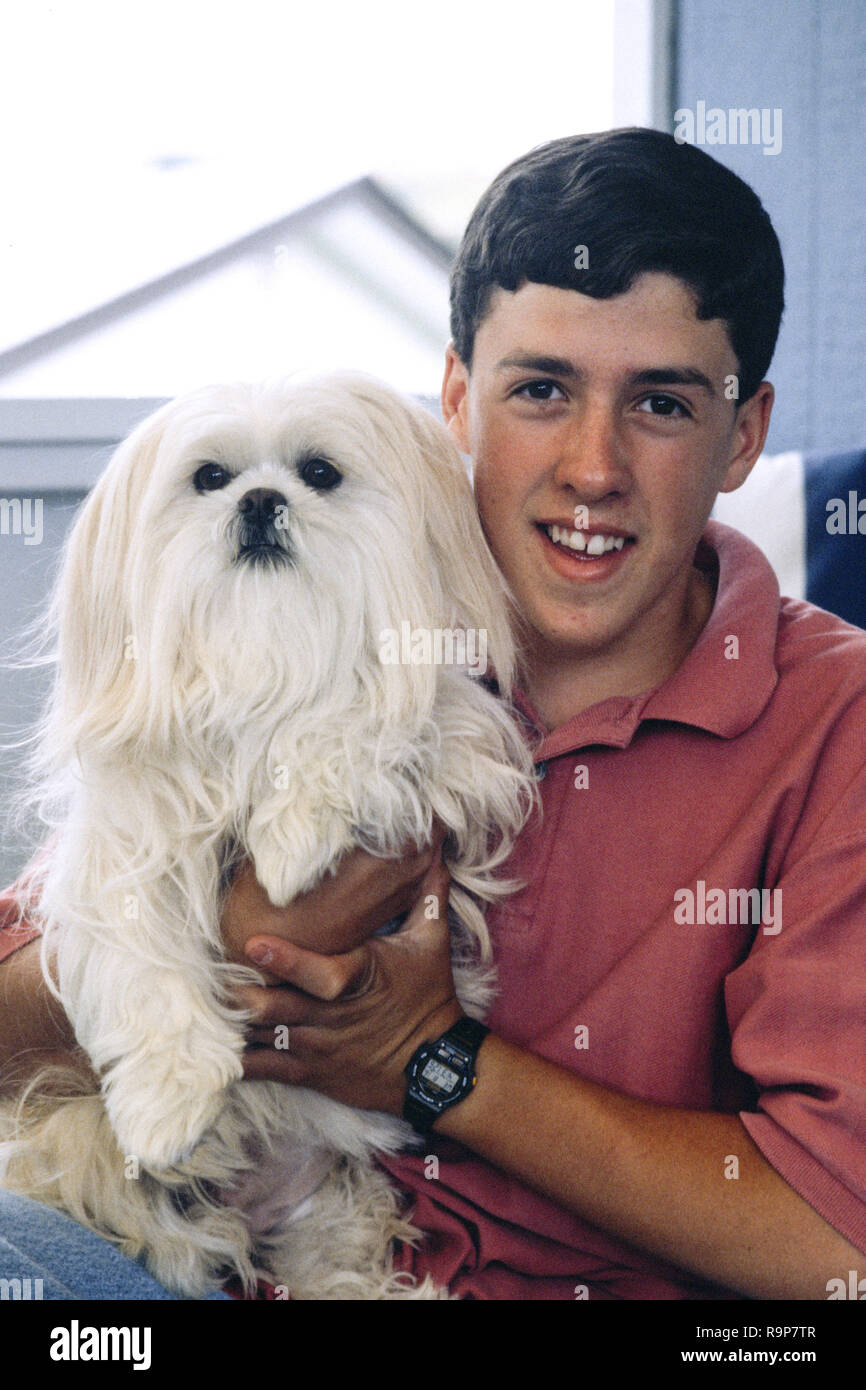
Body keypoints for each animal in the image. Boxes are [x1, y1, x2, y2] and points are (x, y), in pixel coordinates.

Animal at [0, 372, 536, 1301]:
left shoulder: (455, 739)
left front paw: (292, 843)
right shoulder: (126, 838)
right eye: (210, 478)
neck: (266, 659)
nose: (257, 500)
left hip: (331, 1214)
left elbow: (357, 725)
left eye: (319, 472)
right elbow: (141, 957)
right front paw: (167, 1101)